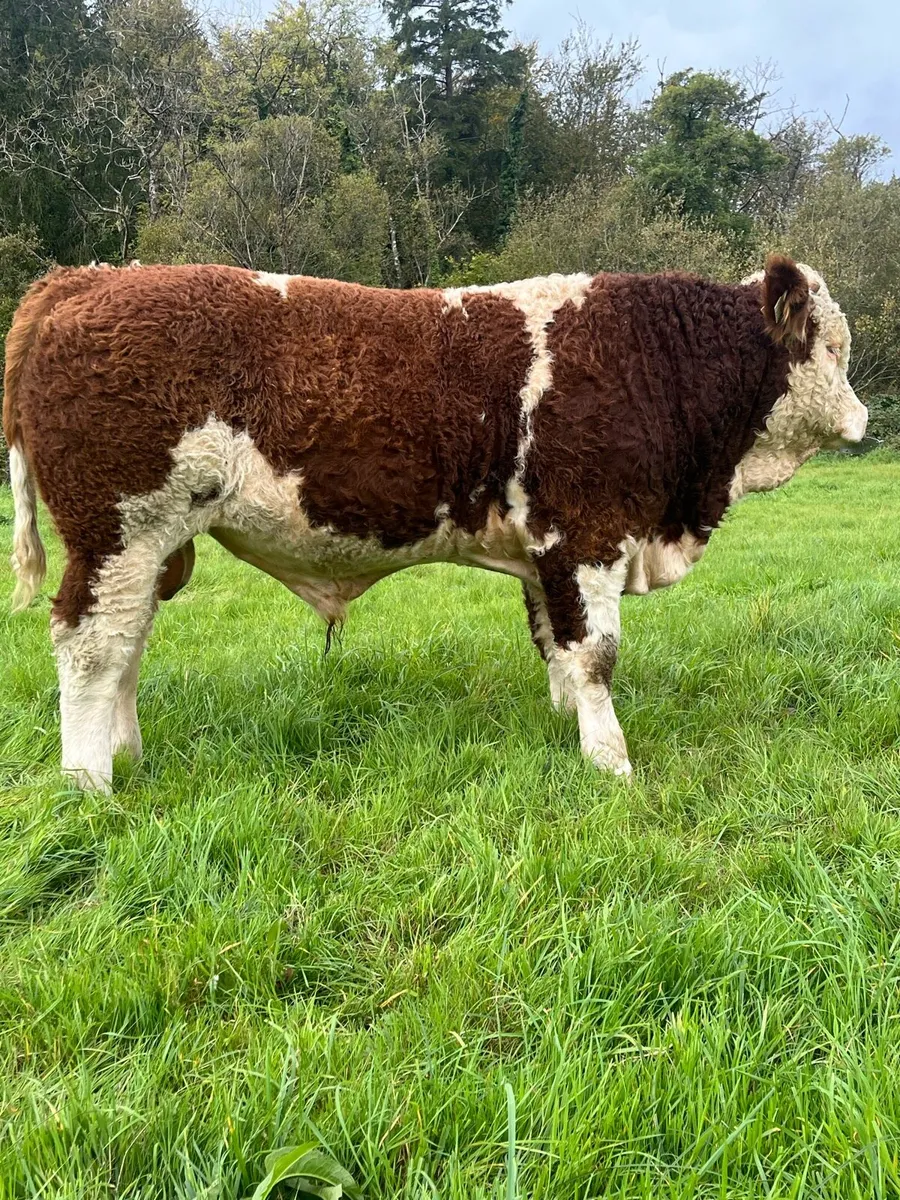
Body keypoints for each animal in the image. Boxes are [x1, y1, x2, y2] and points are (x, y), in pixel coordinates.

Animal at [4, 255, 866, 791]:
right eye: (832, 346)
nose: (862, 419)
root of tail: (82, 280)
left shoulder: (546, 551)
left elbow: (555, 644)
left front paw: (566, 729)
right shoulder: (587, 535)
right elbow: (596, 657)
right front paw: (612, 763)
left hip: (145, 546)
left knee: (126, 643)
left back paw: (126, 756)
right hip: (118, 530)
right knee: (91, 645)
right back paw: (91, 784)